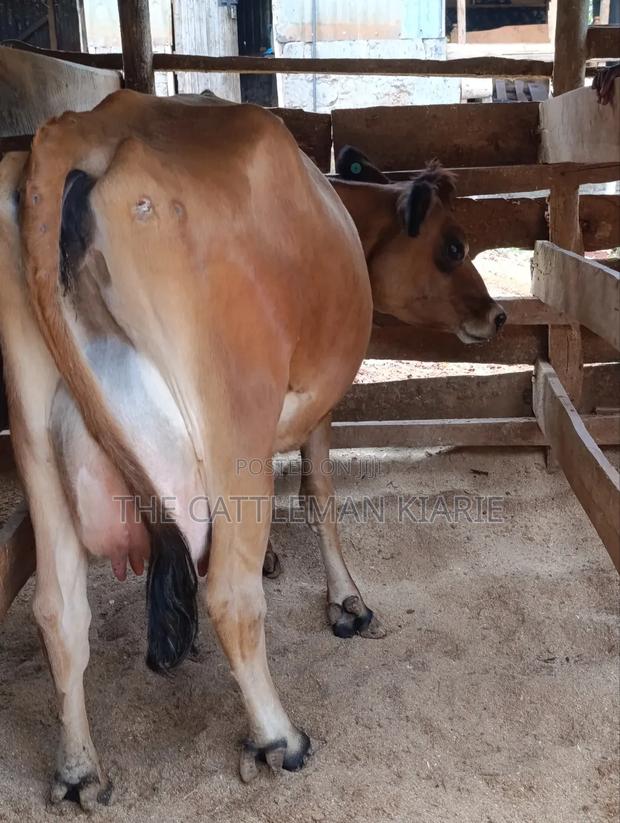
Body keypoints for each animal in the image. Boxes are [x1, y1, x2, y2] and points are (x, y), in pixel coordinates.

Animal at [0, 90, 504, 810]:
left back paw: (78, 773)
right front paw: (347, 602)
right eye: (453, 245)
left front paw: (274, 558)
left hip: (36, 439)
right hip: (232, 421)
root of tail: (82, 126)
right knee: (229, 598)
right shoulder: (318, 402)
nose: (498, 314)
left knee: (58, 611)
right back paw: (278, 737)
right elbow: (319, 492)